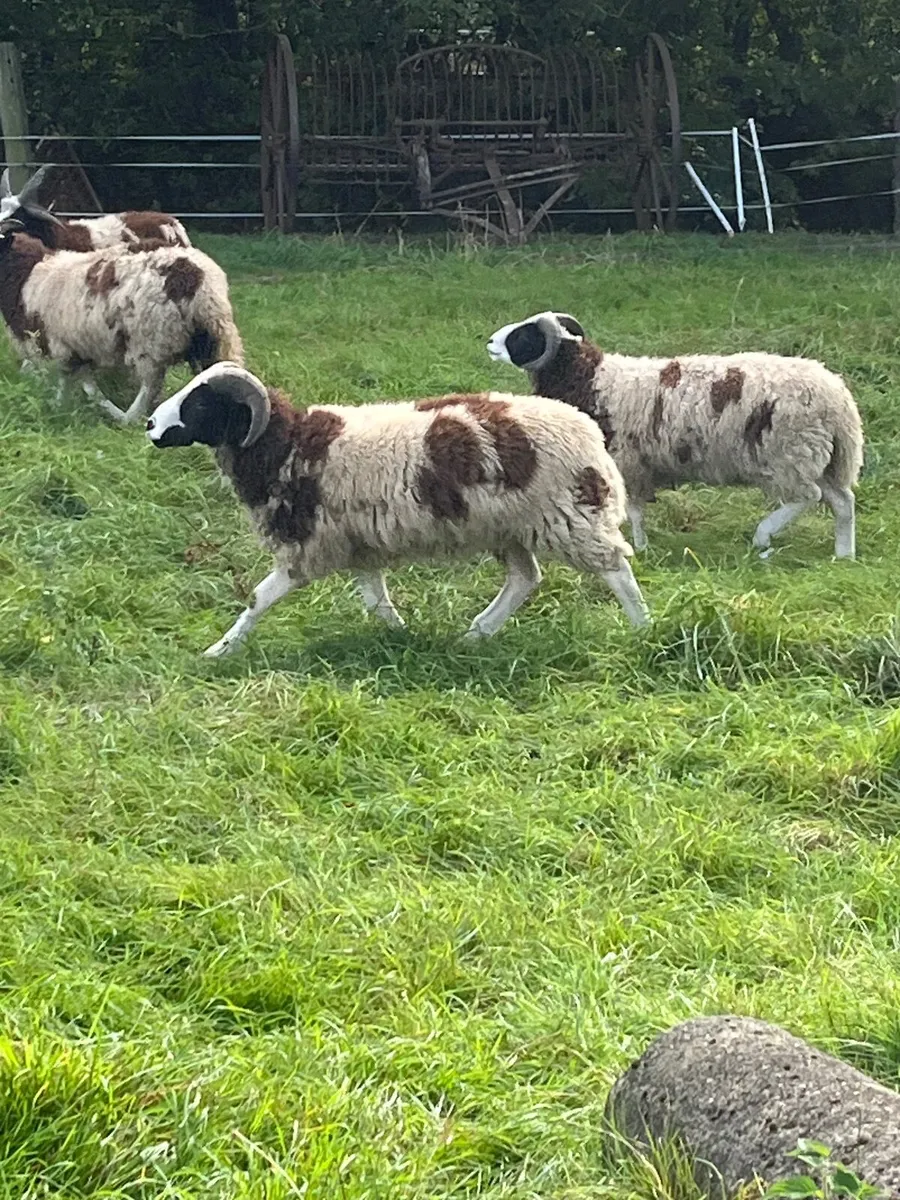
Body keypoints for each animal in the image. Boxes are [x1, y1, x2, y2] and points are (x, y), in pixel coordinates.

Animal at [0, 224, 243, 424]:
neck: (27, 274)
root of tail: (200, 281)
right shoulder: (77, 349)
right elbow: (87, 385)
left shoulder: (56, 344)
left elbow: (69, 383)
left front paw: (60, 408)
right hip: (206, 341)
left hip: (151, 339)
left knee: (150, 386)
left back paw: (129, 418)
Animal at [145, 363, 651, 657]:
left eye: (201, 403)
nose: (150, 424)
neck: (288, 445)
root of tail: (588, 431)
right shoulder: (358, 545)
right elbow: (375, 598)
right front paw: (401, 634)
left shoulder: (309, 544)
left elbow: (258, 597)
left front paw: (219, 650)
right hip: (508, 526)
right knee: (525, 578)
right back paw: (475, 634)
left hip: (570, 516)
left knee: (616, 569)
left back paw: (643, 628)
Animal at [487, 311, 864, 560]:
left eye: (525, 335)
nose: (489, 341)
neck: (590, 378)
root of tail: (837, 397)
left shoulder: (628, 462)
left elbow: (635, 510)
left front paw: (639, 547)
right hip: (823, 456)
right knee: (842, 501)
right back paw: (843, 554)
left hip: (790, 452)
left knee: (807, 496)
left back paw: (763, 536)